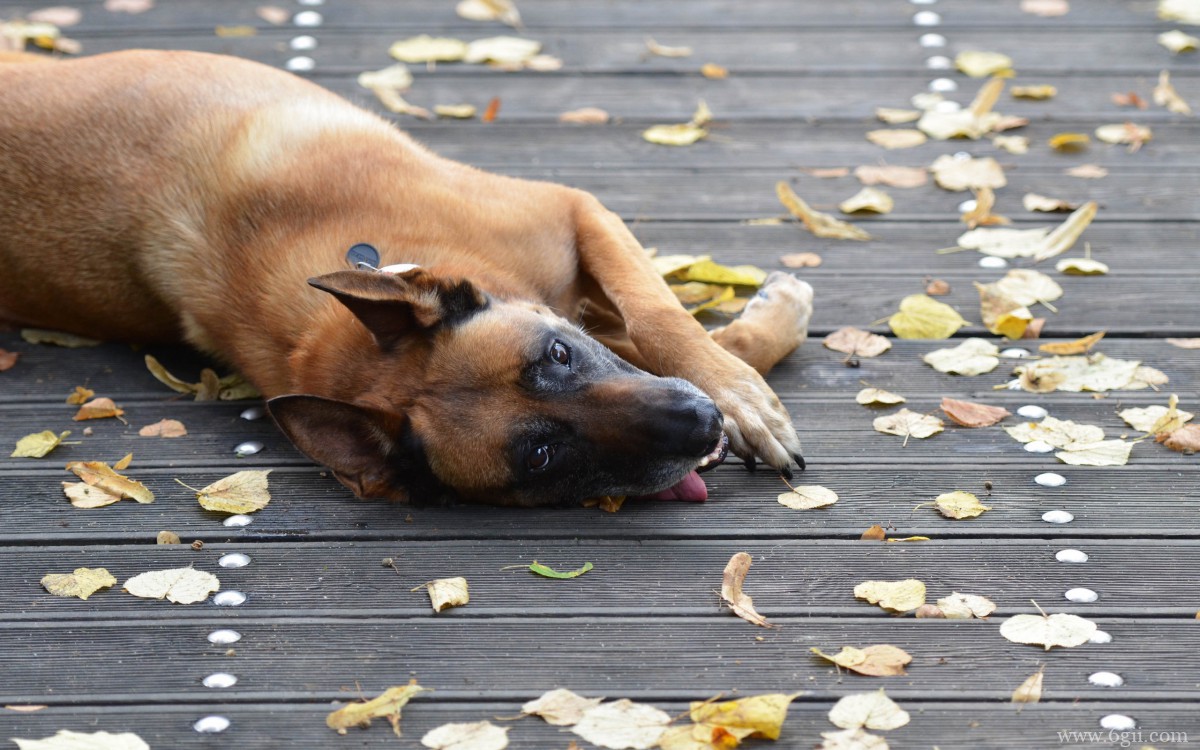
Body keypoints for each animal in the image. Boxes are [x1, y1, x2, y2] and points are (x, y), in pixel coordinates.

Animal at [0, 49, 816, 506]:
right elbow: (666, 329)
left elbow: (658, 315)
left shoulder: (574, 213)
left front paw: (743, 395)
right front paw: (754, 358)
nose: (698, 425)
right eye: (542, 456)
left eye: (557, 357)